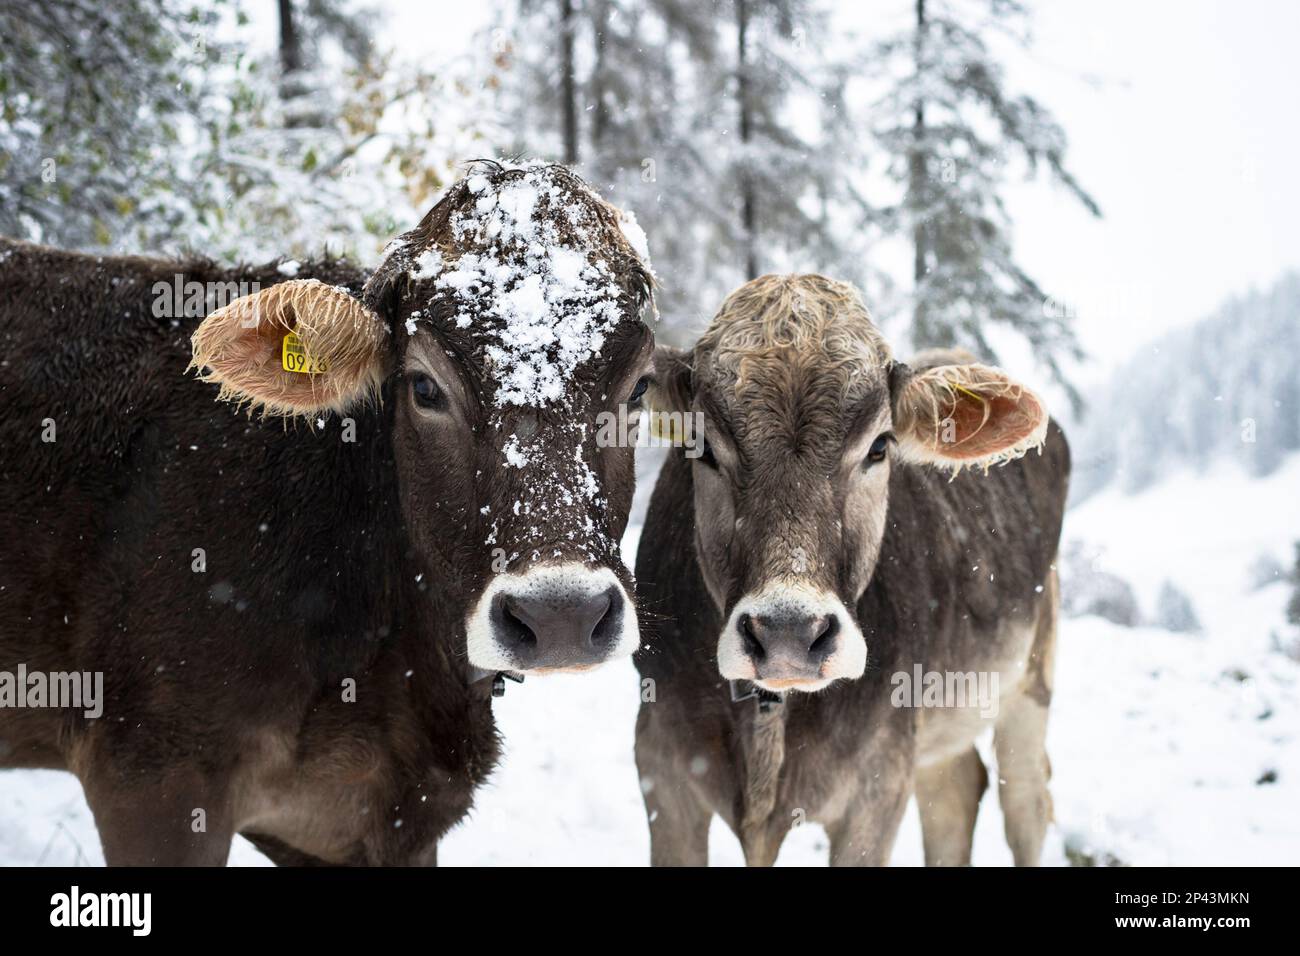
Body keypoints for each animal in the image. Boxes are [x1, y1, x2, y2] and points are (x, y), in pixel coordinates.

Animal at [632, 273, 1069, 866]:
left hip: (1030, 682)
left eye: (880, 446)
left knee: (1026, 800)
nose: (788, 633)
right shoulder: (660, 768)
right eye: (700, 446)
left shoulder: (878, 787)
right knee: (956, 790)